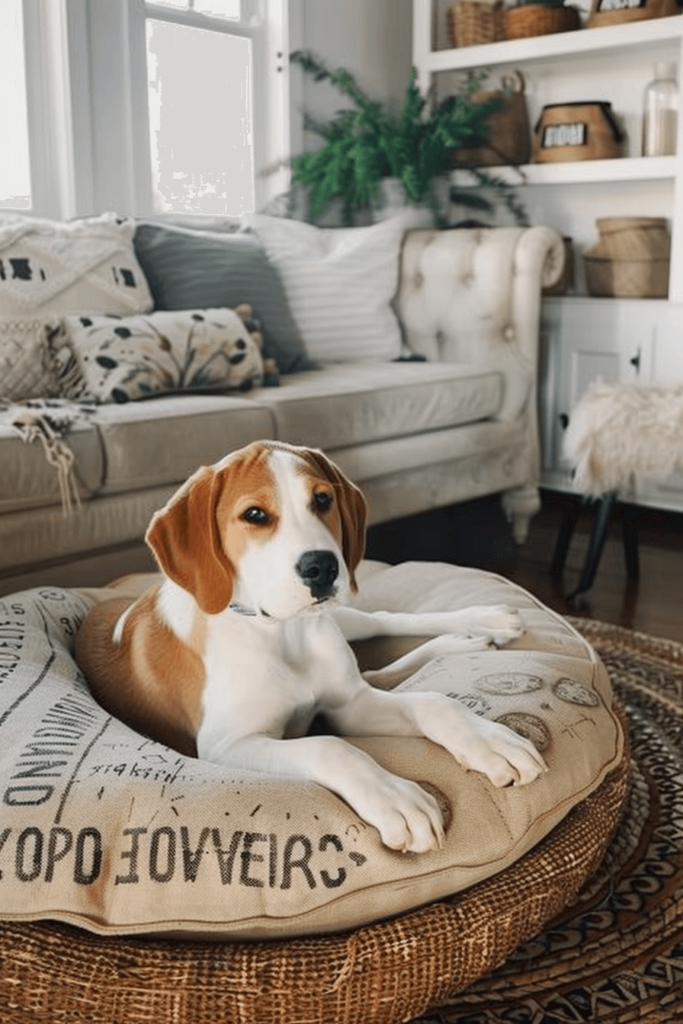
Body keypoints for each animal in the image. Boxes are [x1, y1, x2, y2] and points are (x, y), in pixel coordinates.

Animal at [76, 440, 544, 856]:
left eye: (322, 500)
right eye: (255, 514)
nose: (322, 567)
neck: (282, 634)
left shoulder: (348, 704)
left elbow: (433, 701)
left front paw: (488, 740)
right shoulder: (228, 745)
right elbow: (330, 745)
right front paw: (394, 796)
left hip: (346, 620)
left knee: (382, 622)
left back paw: (480, 622)